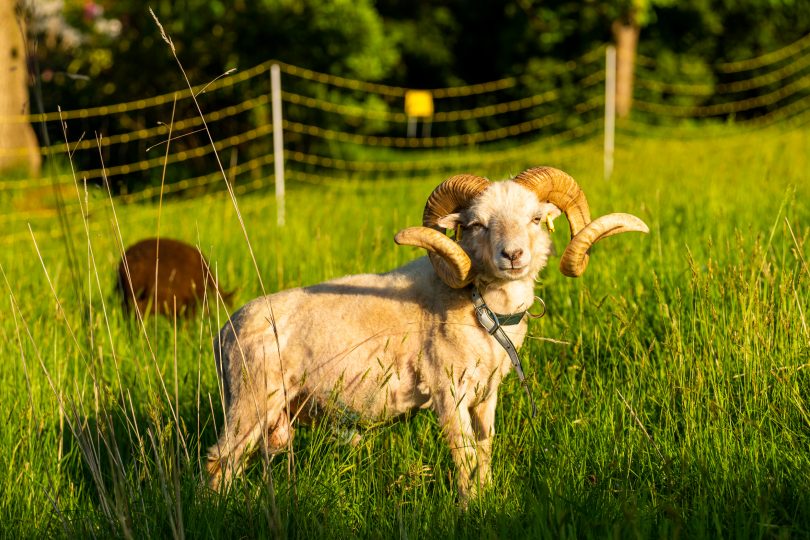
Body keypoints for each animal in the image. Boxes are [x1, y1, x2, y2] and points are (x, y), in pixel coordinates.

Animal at [207, 167, 648, 500]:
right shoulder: (447, 392)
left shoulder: (487, 394)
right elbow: (464, 456)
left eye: (535, 219)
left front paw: (489, 497)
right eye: (476, 224)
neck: (480, 307)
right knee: (218, 463)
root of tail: (226, 329)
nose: (513, 255)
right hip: (250, 400)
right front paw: (471, 508)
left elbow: (484, 450)